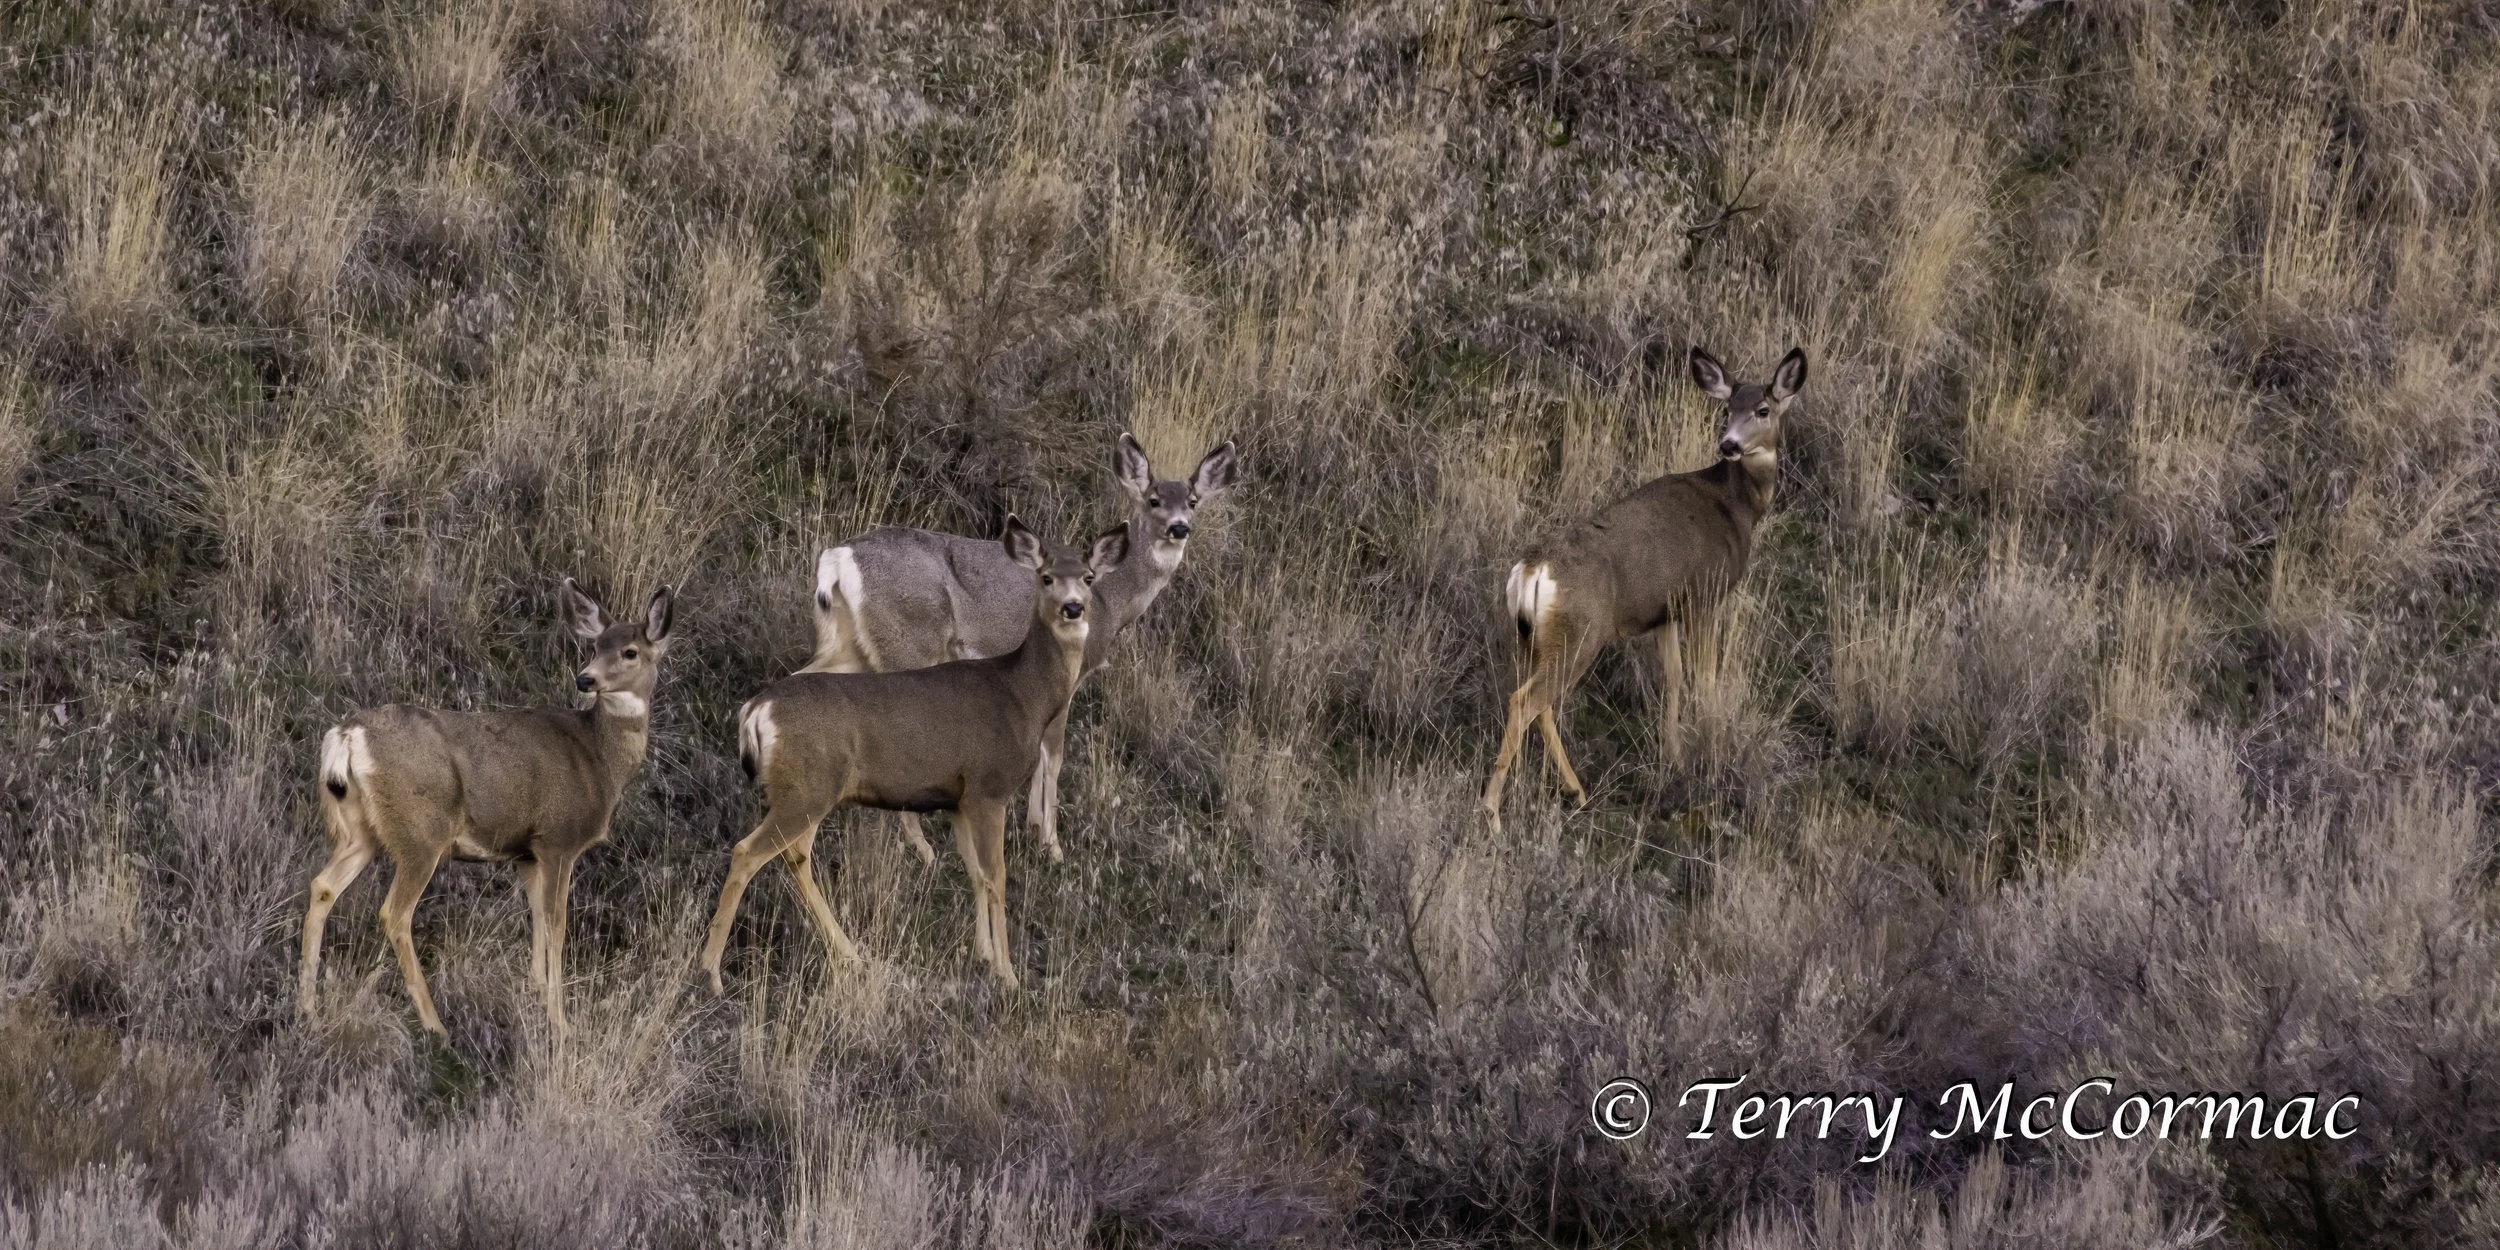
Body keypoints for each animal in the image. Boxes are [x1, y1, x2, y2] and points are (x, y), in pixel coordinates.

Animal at [300, 579, 677, 1039]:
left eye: (629, 651)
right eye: (595, 646)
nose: (586, 678)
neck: (599, 761)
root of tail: (347, 735)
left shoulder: (527, 852)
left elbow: (537, 917)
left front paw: (537, 994)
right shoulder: (559, 838)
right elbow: (556, 923)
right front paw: (561, 1022)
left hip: (361, 830)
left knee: (323, 886)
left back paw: (308, 1010)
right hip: (422, 831)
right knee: (395, 912)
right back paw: (435, 1025)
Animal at [701, 516, 1130, 992]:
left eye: (1088, 578)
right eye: (1046, 577)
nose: (1073, 608)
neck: (1023, 695)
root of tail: (757, 709)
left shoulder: (958, 800)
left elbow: (975, 873)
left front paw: (983, 954)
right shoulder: (988, 787)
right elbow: (996, 877)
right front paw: (1007, 973)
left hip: (808, 790)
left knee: (796, 856)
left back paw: (851, 954)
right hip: (808, 788)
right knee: (748, 853)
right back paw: (711, 972)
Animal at [800, 433, 1235, 865]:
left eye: (1192, 500)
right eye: (1154, 499)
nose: (1179, 528)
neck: (1112, 597)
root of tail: (838, 558)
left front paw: (1033, 826)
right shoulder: (1068, 672)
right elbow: (1054, 756)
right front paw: (1053, 845)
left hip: (847, 641)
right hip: (908, 639)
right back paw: (923, 848)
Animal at [1481, 345, 1806, 832]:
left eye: (1761, 410)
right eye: (1726, 409)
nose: (1729, 444)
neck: (1736, 509)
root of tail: (1533, 568)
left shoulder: (1663, 613)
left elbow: (1673, 677)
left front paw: (1673, 754)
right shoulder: (1703, 595)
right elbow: (1704, 677)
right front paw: (1705, 747)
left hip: (1531, 637)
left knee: (1539, 702)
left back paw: (1576, 791)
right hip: (1582, 632)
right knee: (1526, 701)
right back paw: (1493, 811)